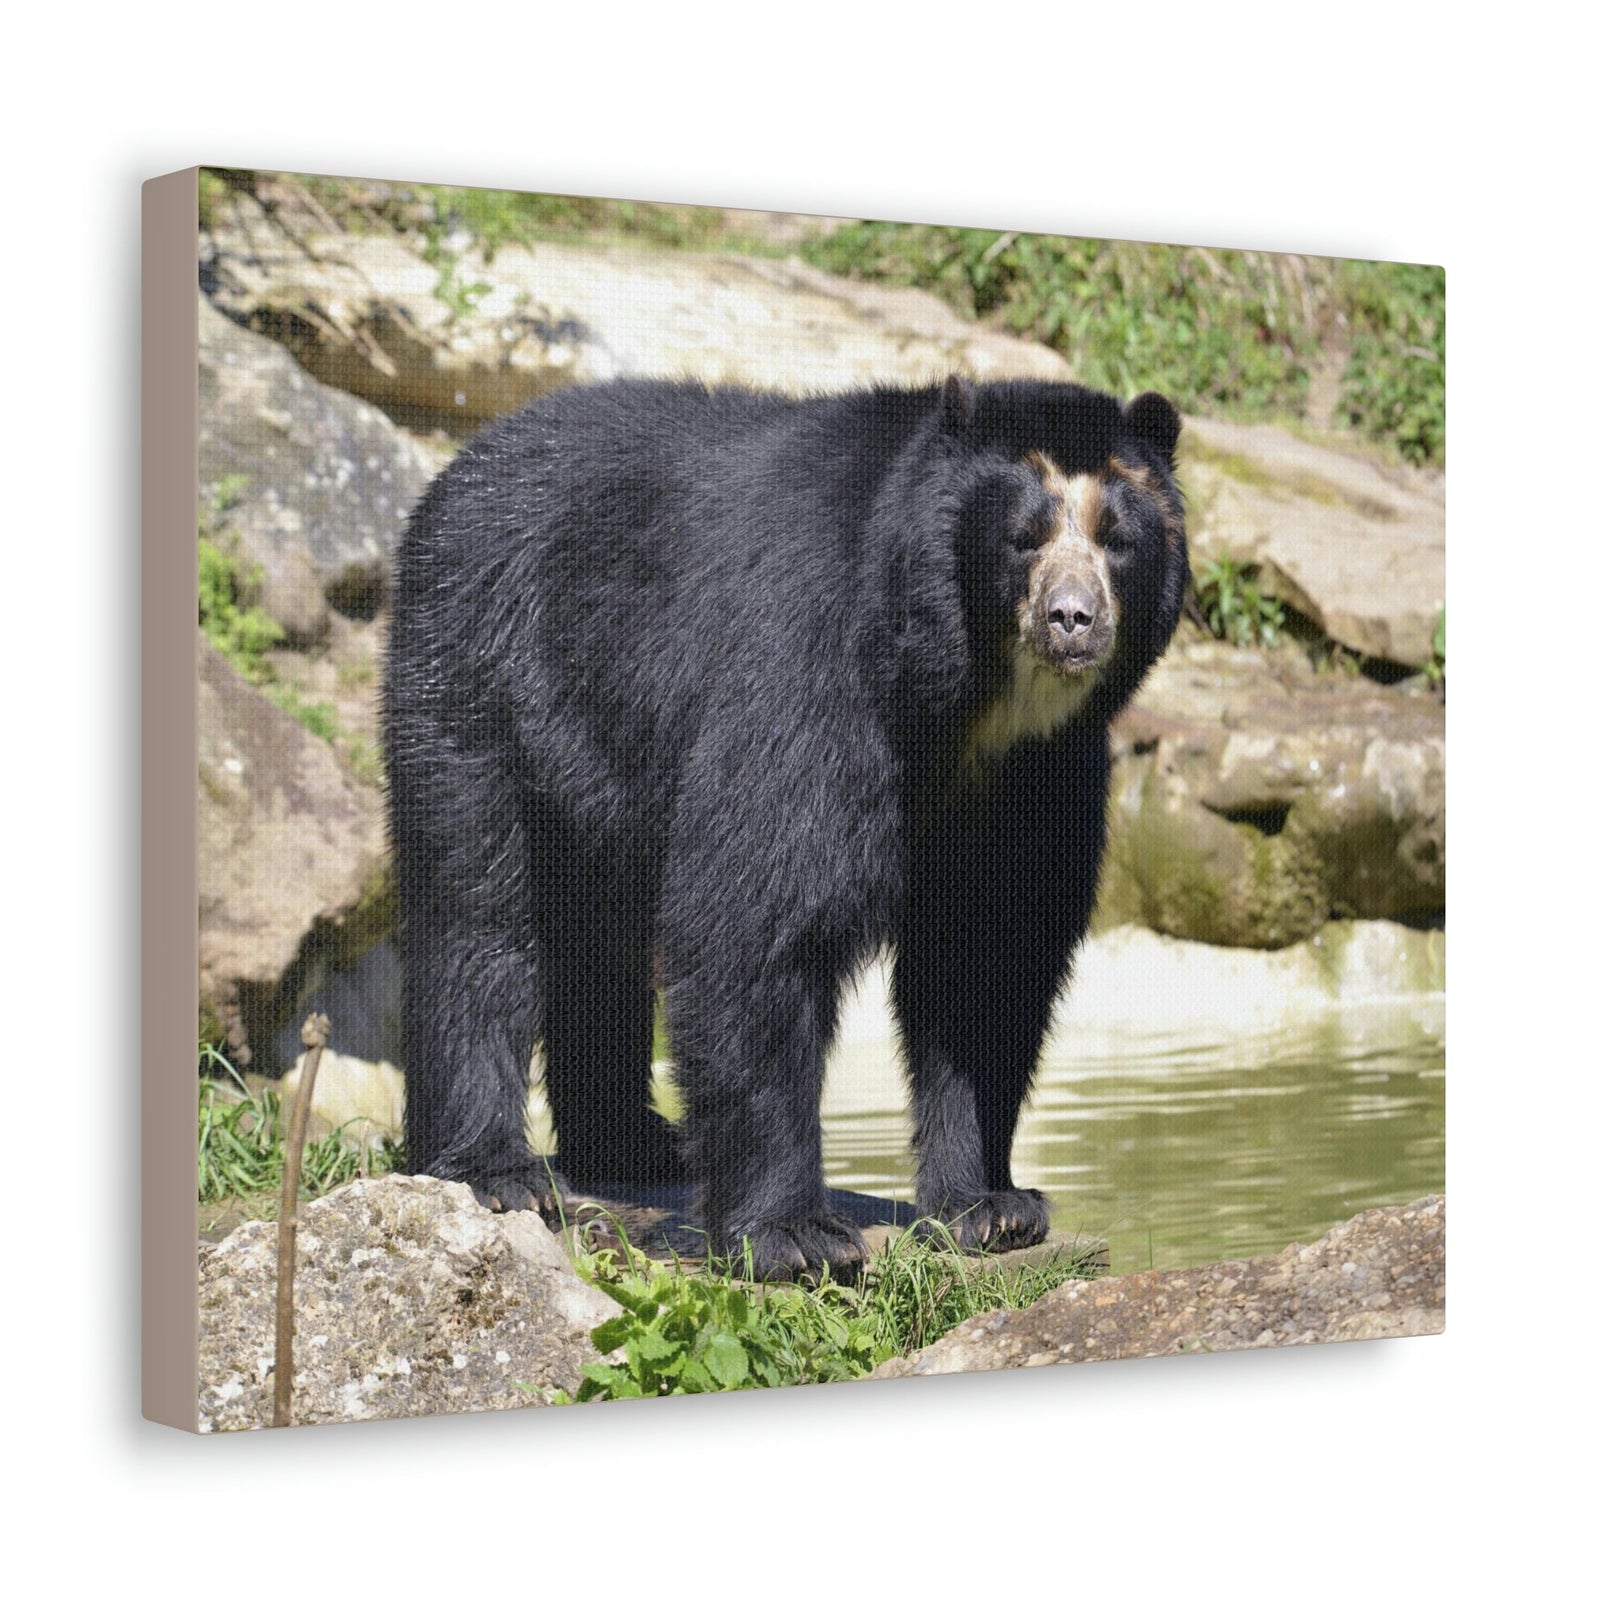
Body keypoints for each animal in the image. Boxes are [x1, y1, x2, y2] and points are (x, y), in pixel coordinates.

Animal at [383, 374, 1186, 1282]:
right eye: (1022, 539)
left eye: (1119, 542)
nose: (1072, 619)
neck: (970, 703)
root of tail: (460, 466)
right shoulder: (808, 667)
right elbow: (757, 918)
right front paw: (796, 1236)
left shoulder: (1042, 772)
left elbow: (991, 958)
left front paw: (994, 1207)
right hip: (483, 672)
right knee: (476, 912)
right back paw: (495, 1171)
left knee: (597, 936)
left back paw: (635, 1146)